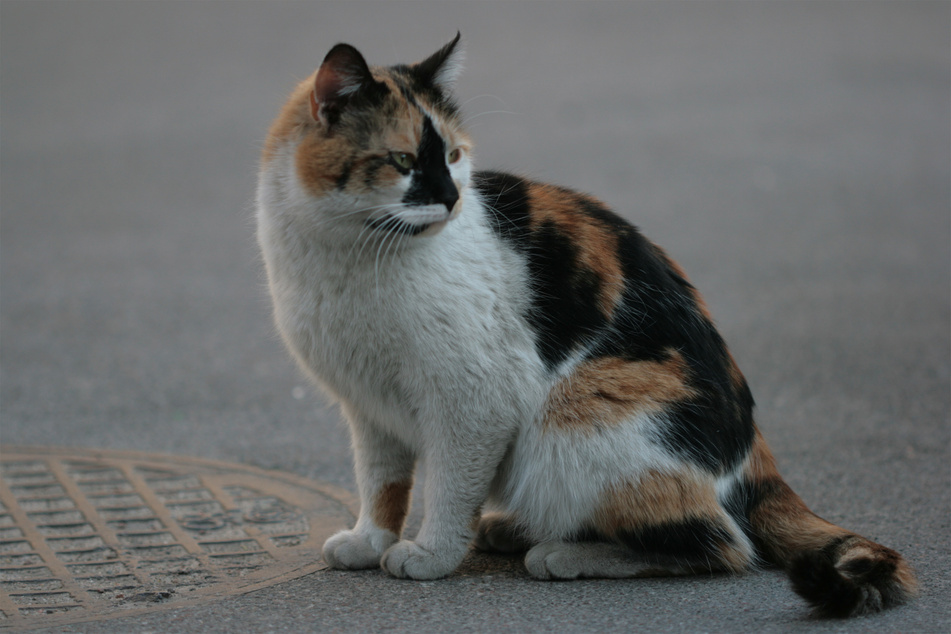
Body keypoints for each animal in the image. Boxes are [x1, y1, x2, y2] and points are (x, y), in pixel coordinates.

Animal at [256, 35, 920, 616]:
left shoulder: (474, 399)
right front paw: (370, 540)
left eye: (453, 157)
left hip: (576, 416)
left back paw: (562, 552)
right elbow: (382, 482)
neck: (347, 258)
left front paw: (430, 554)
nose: (451, 199)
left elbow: (447, 486)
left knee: (720, 542)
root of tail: (753, 454)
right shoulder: (368, 406)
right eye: (400, 162)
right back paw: (517, 530)